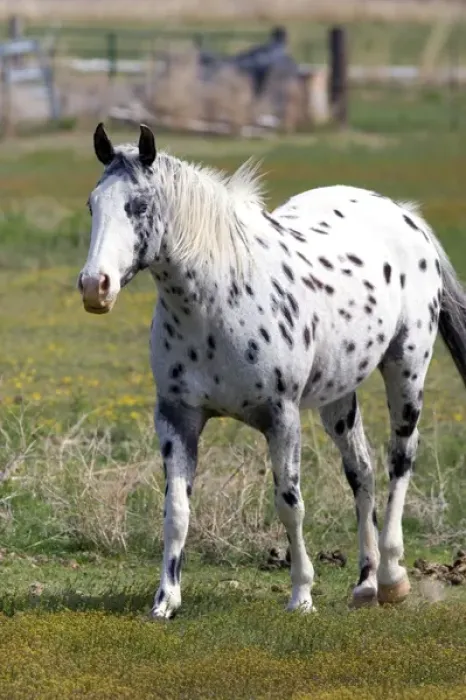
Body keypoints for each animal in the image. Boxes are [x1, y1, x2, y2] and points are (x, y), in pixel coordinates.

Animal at [78, 123, 466, 619]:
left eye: (139, 205)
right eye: (93, 205)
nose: (95, 287)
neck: (217, 304)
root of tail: (404, 215)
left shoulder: (281, 418)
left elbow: (289, 504)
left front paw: (301, 595)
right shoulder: (177, 418)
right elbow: (176, 510)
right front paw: (166, 600)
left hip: (407, 370)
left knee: (400, 461)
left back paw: (393, 578)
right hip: (338, 397)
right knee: (361, 471)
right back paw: (364, 584)